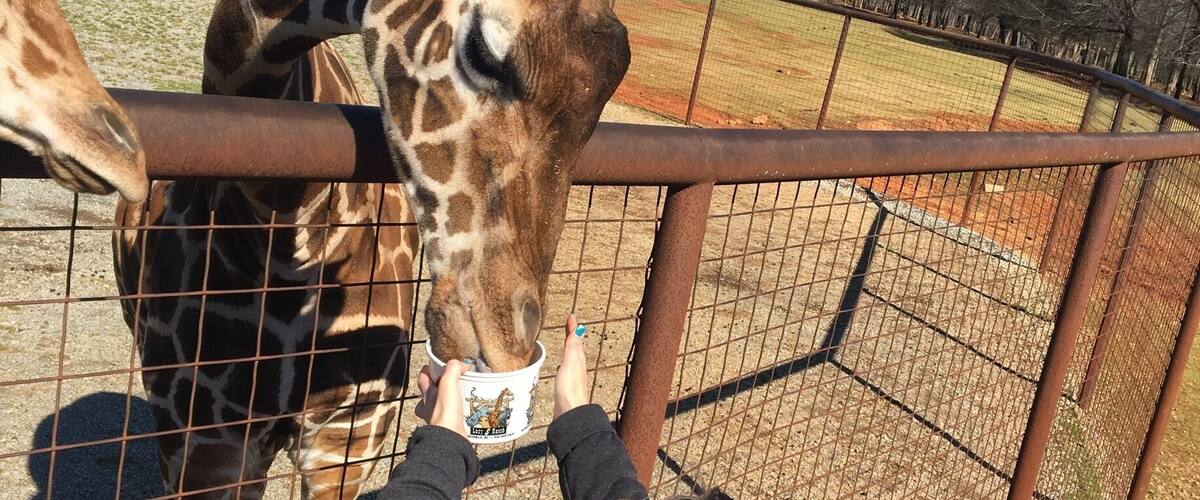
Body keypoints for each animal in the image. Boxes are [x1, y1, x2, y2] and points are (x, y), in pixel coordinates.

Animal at [115, 0, 628, 497]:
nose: (509, 347)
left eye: (610, 85)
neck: (282, 233)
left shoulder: (349, 433)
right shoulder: (203, 444)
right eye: (482, 51)